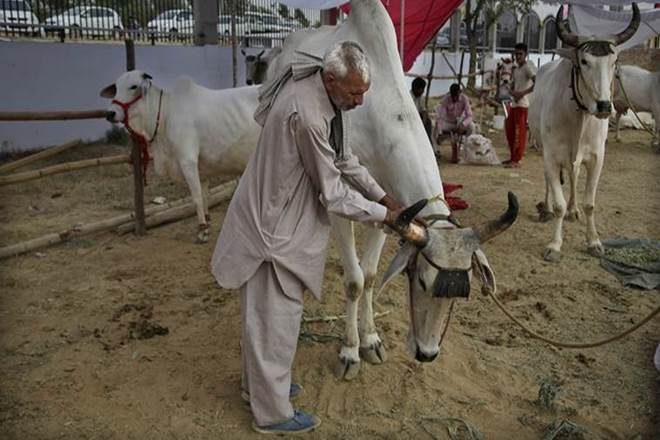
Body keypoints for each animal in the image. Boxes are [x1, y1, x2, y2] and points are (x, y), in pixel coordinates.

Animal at [100, 72, 261, 243]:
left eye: (133, 86)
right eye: (116, 87)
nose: (110, 113)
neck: (166, 114)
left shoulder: (187, 161)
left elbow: (196, 198)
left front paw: (202, 231)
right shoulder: (202, 169)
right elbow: (204, 196)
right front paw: (207, 225)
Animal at [265, 0, 518, 380]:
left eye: (465, 291)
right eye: (423, 281)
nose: (426, 353)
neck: (379, 115)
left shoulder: (388, 209)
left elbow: (369, 276)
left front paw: (370, 340)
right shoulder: (338, 198)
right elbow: (354, 281)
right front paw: (350, 351)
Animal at [529, 4, 640, 262]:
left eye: (614, 61)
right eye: (584, 61)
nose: (604, 106)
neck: (578, 116)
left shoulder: (597, 158)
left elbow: (590, 203)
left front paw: (594, 241)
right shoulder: (551, 156)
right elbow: (557, 201)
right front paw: (555, 245)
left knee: (574, 175)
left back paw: (574, 209)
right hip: (542, 149)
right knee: (549, 182)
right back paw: (546, 209)